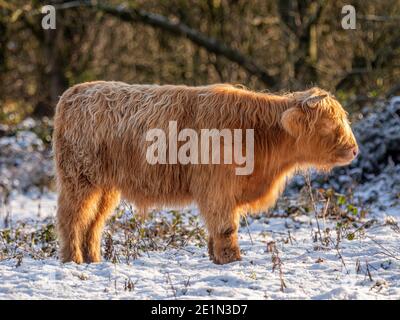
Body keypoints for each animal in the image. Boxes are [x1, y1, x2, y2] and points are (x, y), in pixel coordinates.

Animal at [52, 82, 356, 264]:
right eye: (329, 124)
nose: (354, 150)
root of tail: (72, 92)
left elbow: (216, 228)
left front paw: (215, 258)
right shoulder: (216, 188)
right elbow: (225, 227)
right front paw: (232, 259)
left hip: (105, 187)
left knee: (93, 222)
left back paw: (93, 260)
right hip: (78, 179)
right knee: (71, 218)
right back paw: (73, 259)